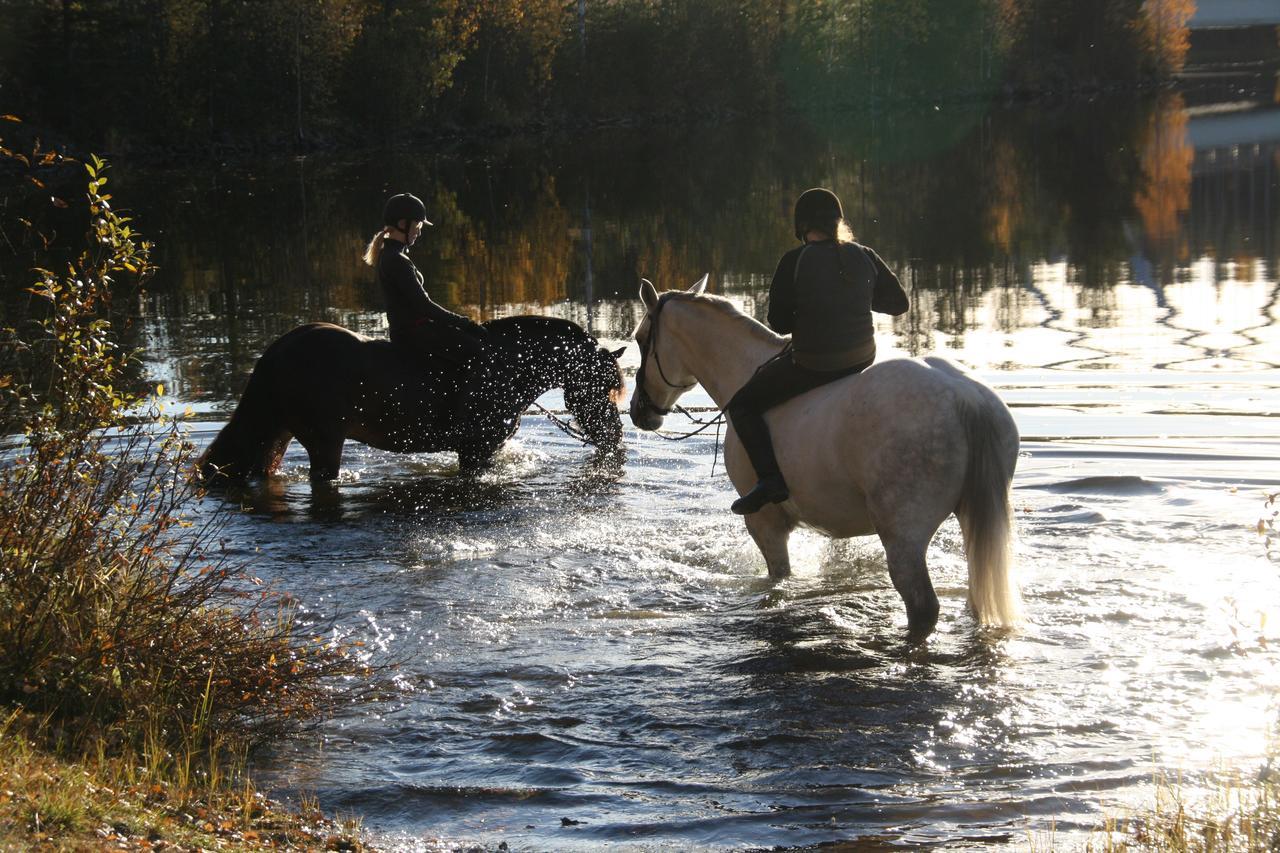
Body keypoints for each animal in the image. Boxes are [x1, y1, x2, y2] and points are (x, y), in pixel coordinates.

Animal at [195, 315, 629, 481]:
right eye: (603, 386)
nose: (616, 437)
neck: (507, 366)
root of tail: (280, 349)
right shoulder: (475, 451)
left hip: (279, 435)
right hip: (322, 443)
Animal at [629, 275, 1018, 635]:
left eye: (640, 339)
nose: (639, 412)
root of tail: (963, 395)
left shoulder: (765, 523)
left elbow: (778, 580)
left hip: (903, 534)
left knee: (923, 607)